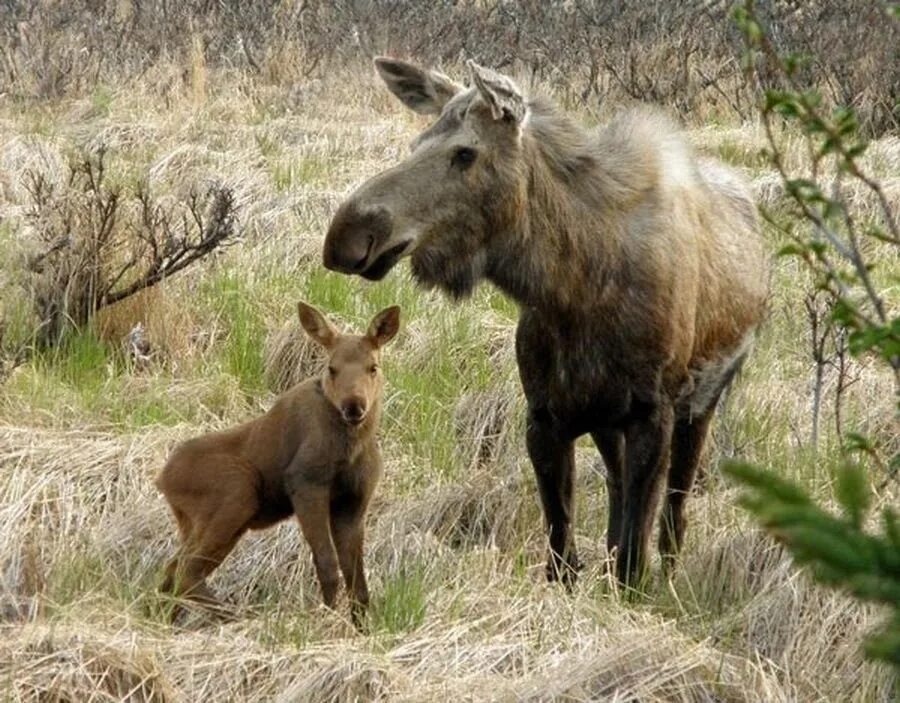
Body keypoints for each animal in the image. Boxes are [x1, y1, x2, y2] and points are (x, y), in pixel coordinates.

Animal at [156, 302, 400, 628]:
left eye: (373, 367)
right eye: (331, 368)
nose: (353, 406)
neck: (350, 448)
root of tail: (162, 480)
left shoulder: (354, 500)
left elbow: (357, 581)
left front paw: (362, 630)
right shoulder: (305, 484)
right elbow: (327, 565)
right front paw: (323, 622)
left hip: (207, 522)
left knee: (172, 569)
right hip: (237, 492)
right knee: (185, 571)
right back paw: (238, 618)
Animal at [324, 59, 768, 588]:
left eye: (465, 153)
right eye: (417, 143)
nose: (346, 235)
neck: (570, 292)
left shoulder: (652, 411)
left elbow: (633, 560)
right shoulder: (545, 415)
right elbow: (561, 551)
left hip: (702, 401)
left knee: (674, 511)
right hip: (606, 419)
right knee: (617, 490)